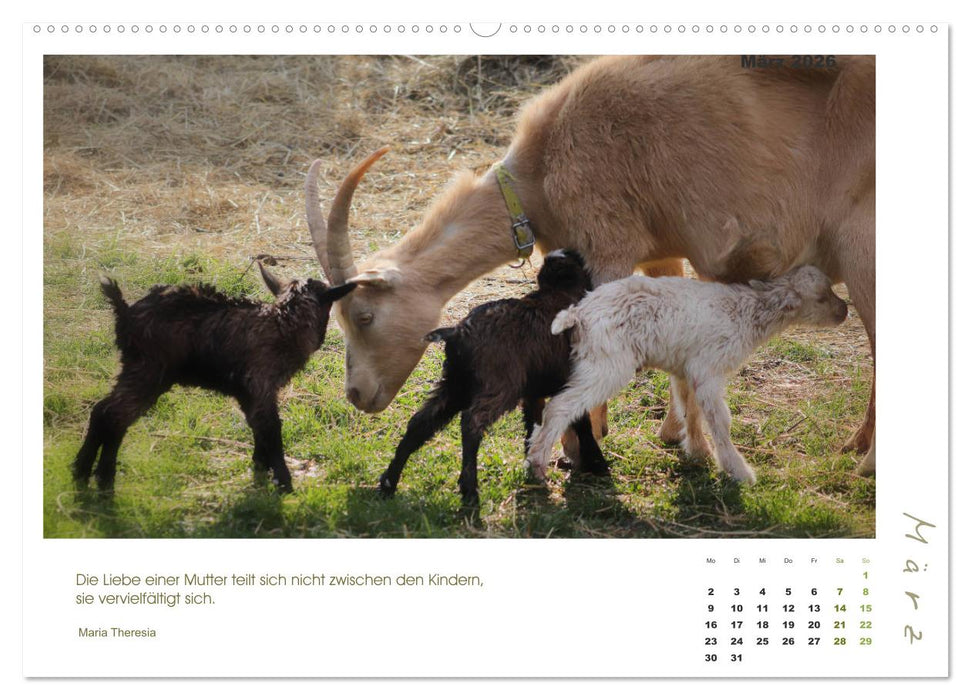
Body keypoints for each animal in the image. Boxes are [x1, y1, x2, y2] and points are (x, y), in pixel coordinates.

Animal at [378, 249, 608, 508]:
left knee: (421, 422)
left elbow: (533, 422)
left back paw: (389, 482)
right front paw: (597, 464)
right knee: (471, 422)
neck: (558, 291)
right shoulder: (572, 384)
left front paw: (532, 463)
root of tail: (457, 331)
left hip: (455, 384)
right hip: (498, 384)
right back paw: (469, 491)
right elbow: (581, 422)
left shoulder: (533, 392)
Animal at [525, 266, 848, 485]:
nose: (845, 311)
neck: (748, 313)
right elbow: (720, 420)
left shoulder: (684, 368)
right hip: (607, 363)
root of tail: (577, 313)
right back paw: (538, 463)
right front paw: (737, 469)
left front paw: (695, 450)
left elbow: (687, 407)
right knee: (560, 407)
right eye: (821, 297)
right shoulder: (708, 369)